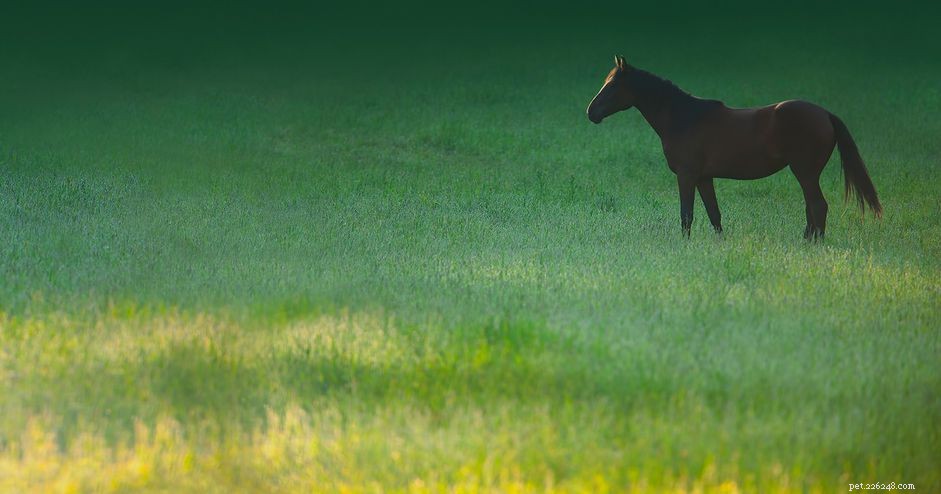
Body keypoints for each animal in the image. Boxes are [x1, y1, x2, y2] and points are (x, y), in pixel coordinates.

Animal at [586, 56, 882, 239]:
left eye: (612, 85)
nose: (591, 112)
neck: (683, 117)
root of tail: (825, 114)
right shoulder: (704, 178)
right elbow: (714, 214)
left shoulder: (686, 175)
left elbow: (686, 215)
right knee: (812, 207)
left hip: (805, 172)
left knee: (818, 206)